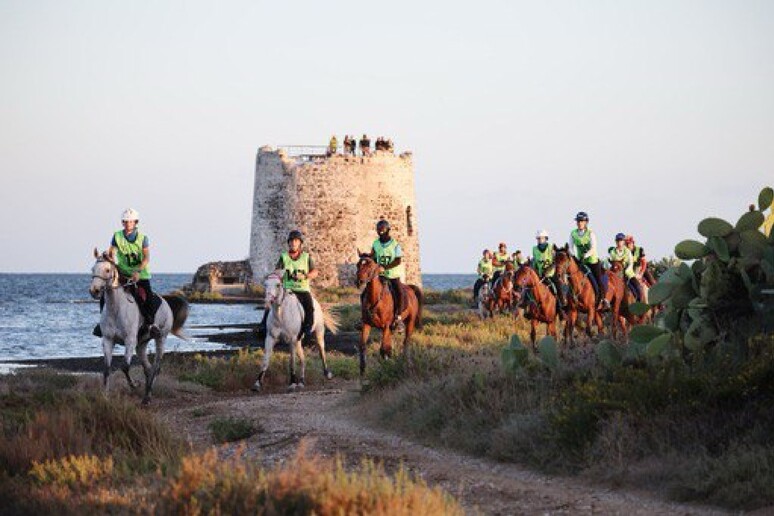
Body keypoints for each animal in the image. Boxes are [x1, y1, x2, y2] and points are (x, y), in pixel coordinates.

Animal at [88, 248, 189, 406]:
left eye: (107, 269)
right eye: (93, 269)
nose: (95, 290)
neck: (116, 309)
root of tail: (165, 301)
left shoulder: (129, 340)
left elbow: (124, 367)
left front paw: (135, 384)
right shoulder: (108, 340)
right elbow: (106, 369)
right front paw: (105, 396)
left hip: (161, 338)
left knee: (156, 367)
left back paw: (147, 397)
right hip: (141, 345)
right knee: (148, 368)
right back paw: (147, 394)